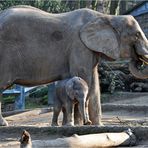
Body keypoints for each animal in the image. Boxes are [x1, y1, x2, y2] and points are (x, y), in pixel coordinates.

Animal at [0, 6, 147, 126]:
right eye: (137, 35)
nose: (139, 60)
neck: (106, 17)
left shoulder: (89, 49)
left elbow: (94, 84)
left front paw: (97, 126)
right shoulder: (79, 46)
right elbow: (83, 77)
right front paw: (79, 124)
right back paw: (4, 124)